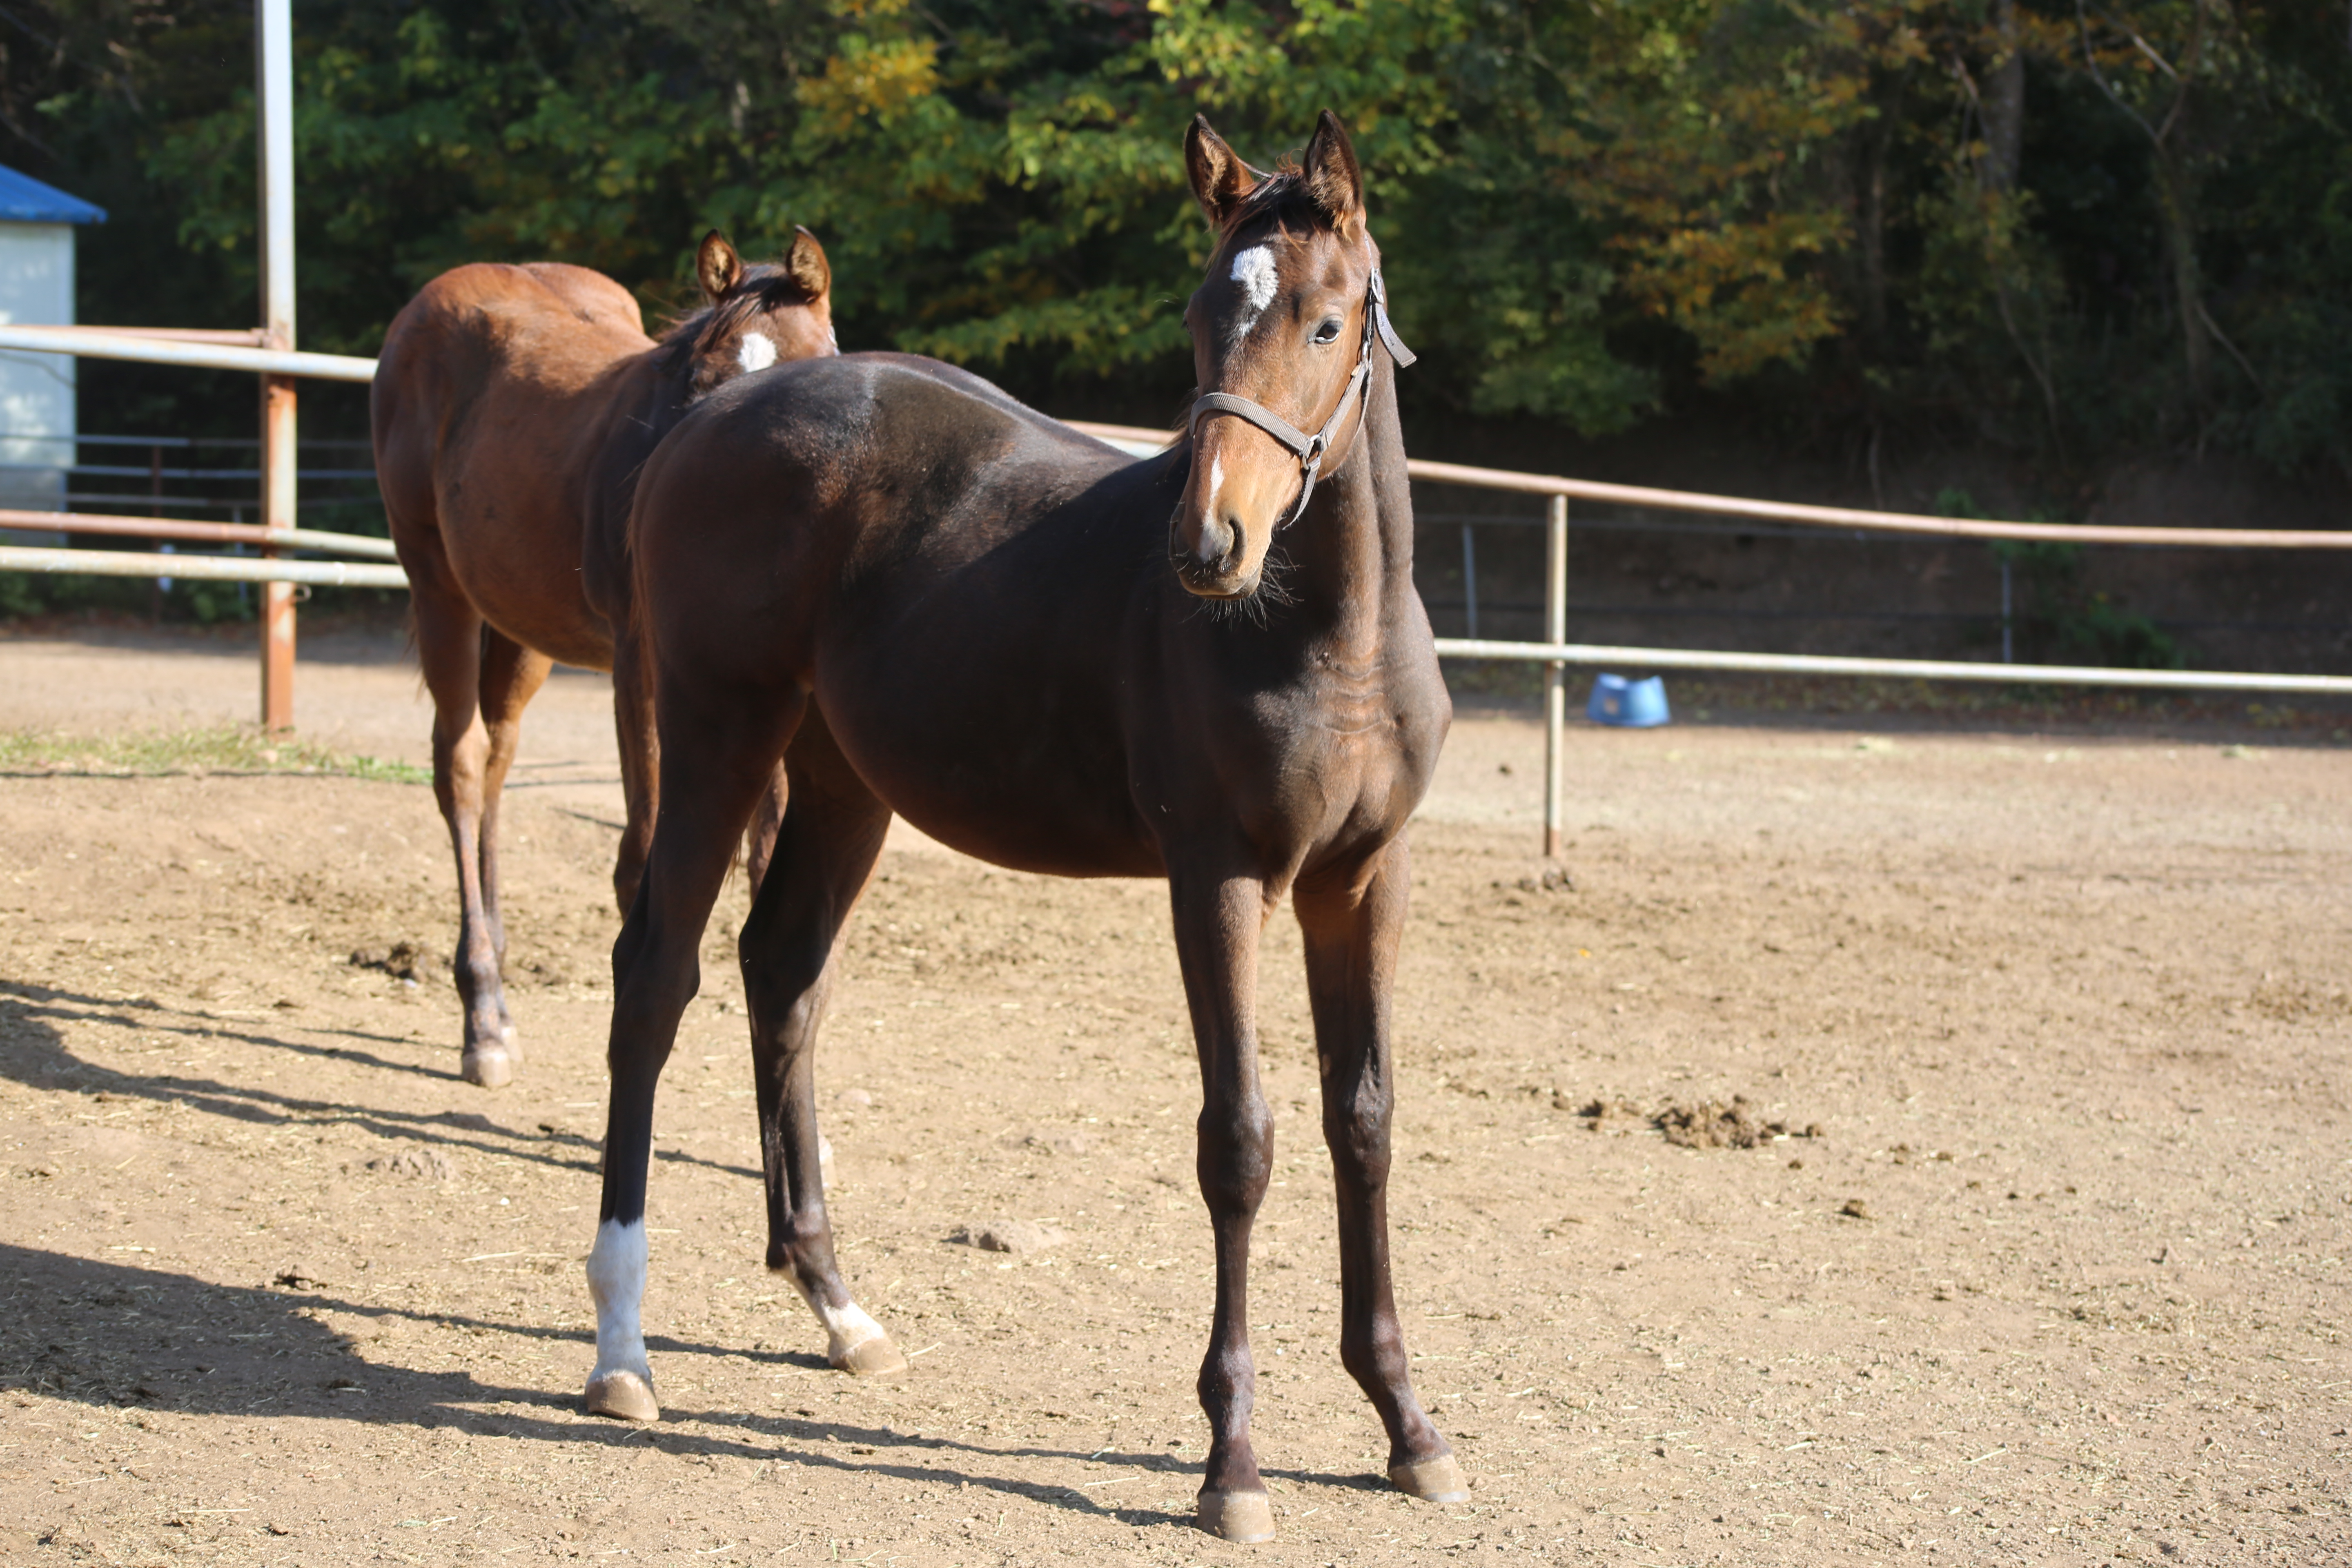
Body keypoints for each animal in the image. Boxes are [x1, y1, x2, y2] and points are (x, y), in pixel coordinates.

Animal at [367, 232, 837, 1086]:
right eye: (704, 385)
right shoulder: (641, 667)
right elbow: (640, 863)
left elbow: (766, 869)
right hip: (437, 581)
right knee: (461, 764)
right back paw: (482, 1016)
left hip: (519, 623)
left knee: (497, 759)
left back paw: (498, 989)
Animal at [588, 113, 1458, 1542]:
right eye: (1200, 313)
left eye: (1327, 322)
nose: (1209, 543)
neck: (1325, 637)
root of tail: (708, 423)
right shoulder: (1218, 878)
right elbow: (1241, 1140)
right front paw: (1232, 1464)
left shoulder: (1362, 880)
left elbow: (1366, 1121)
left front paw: (1407, 1424)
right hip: (717, 738)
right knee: (656, 976)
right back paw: (620, 1346)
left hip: (842, 784)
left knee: (783, 975)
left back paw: (840, 1310)